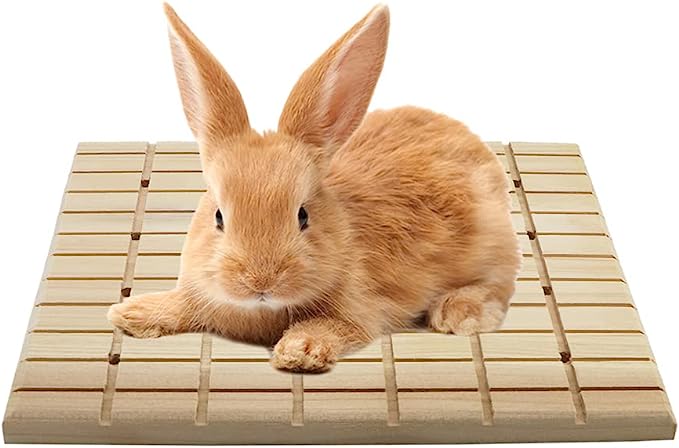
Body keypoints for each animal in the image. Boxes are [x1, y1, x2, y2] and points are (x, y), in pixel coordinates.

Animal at [107, 3, 521, 373]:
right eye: (219, 217)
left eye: (303, 216)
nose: (261, 281)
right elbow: (183, 304)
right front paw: (131, 313)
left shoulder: (360, 311)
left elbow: (334, 326)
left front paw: (300, 349)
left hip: (493, 244)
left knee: (497, 285)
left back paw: (458, 312)